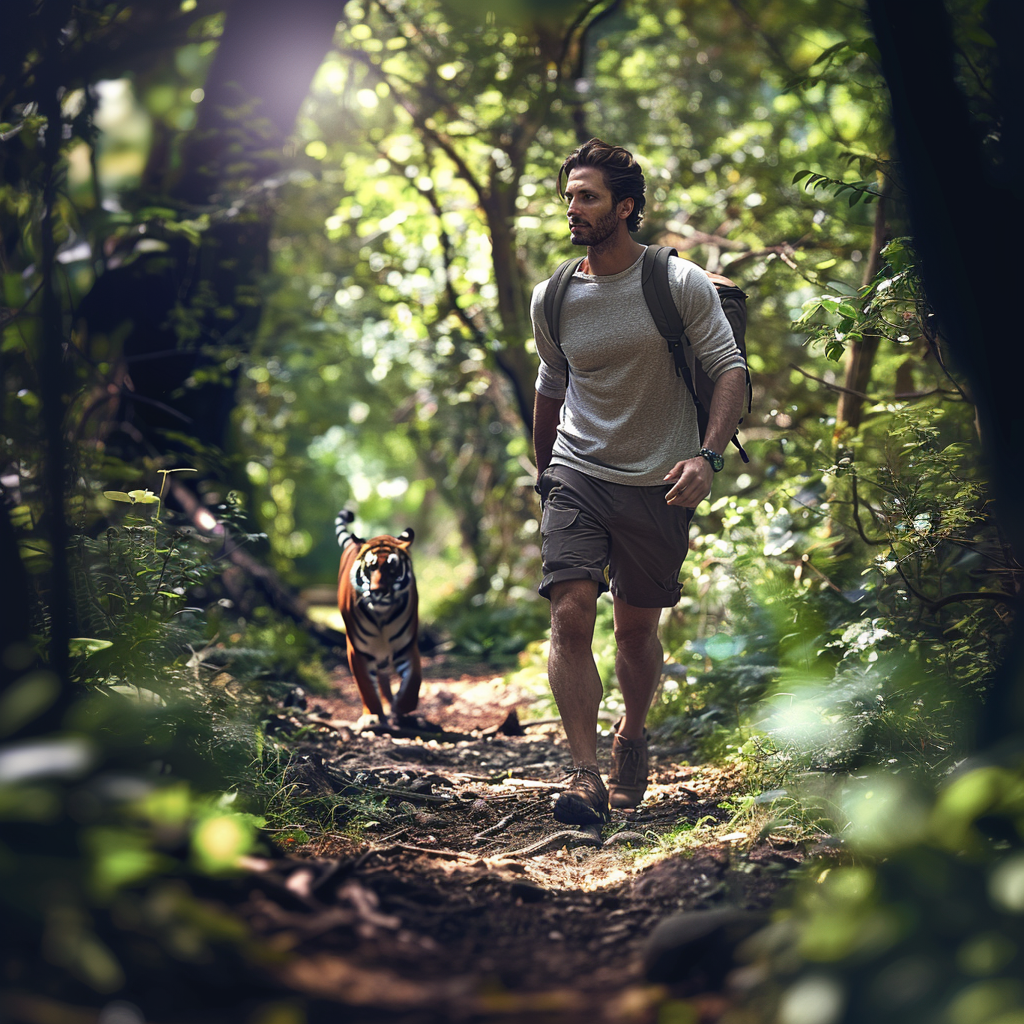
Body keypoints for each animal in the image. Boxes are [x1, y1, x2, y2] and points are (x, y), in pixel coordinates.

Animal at [333, 509, 417, 720]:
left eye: (392, 569)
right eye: (370, 568)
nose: (378, 591)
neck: (381, 617)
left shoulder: (407, 645)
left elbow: (413, 682)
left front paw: (400, 706)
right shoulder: (356, 650)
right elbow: (367, 688)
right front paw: (373, 716)